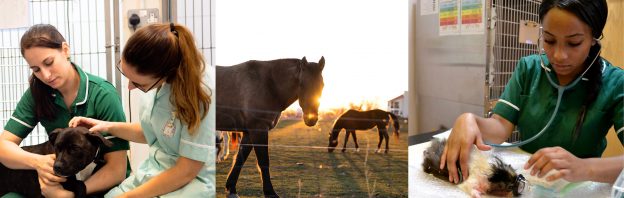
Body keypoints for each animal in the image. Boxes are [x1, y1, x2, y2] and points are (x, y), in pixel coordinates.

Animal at [218, 56, 326, 197]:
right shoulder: (258, 130)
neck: (268, 84)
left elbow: (240, 159)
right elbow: (263, 162)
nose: (311, 119)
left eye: (322, 85)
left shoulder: (249, 132)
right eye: (301, 84)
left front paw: (231, 188)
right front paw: (270, 192)